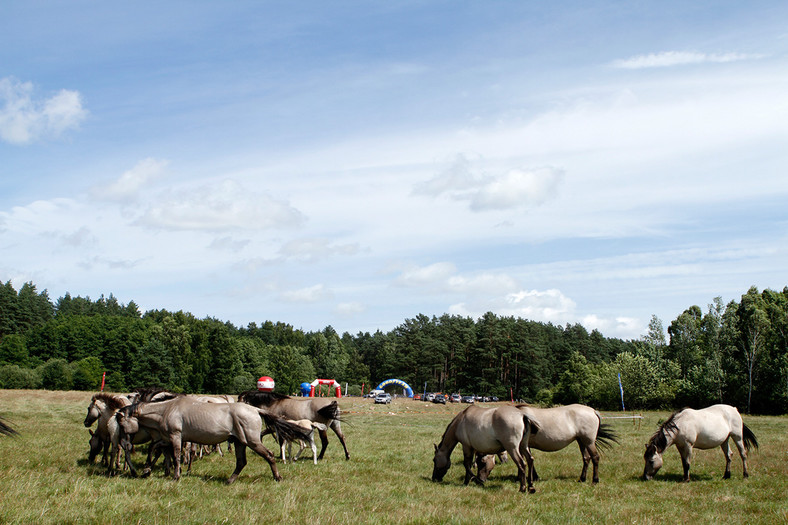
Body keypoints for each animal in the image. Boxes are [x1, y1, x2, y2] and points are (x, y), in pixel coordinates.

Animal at [115, 396, 310, 482]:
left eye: (122, 424)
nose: (124, 444)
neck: (167, 409)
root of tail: (255, 409)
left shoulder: (176, 437)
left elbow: (176, 456)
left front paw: (176, 476)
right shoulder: (167, 438)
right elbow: (153, 448)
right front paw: (146, 470)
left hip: (252, 442)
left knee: (268, 455)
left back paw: (277, 477)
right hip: (239, 442)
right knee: (241, 462)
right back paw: (230, 480)